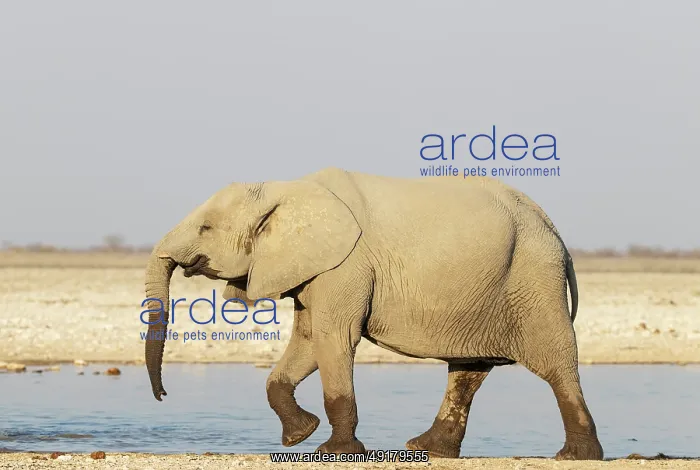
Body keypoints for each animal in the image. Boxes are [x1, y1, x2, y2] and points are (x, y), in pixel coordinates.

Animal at [142, 167, 603, 460]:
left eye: (205, 229)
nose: (162, 396)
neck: (283, 189)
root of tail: (553, 229)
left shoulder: (346, 264)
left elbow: (333, 337)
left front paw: (334, 452)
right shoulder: (317, 268)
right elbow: (309, 340)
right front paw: (299, 436)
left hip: (533, 277)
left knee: (555, 361)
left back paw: (575, 456)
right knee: (469, 369)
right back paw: (426, 450)